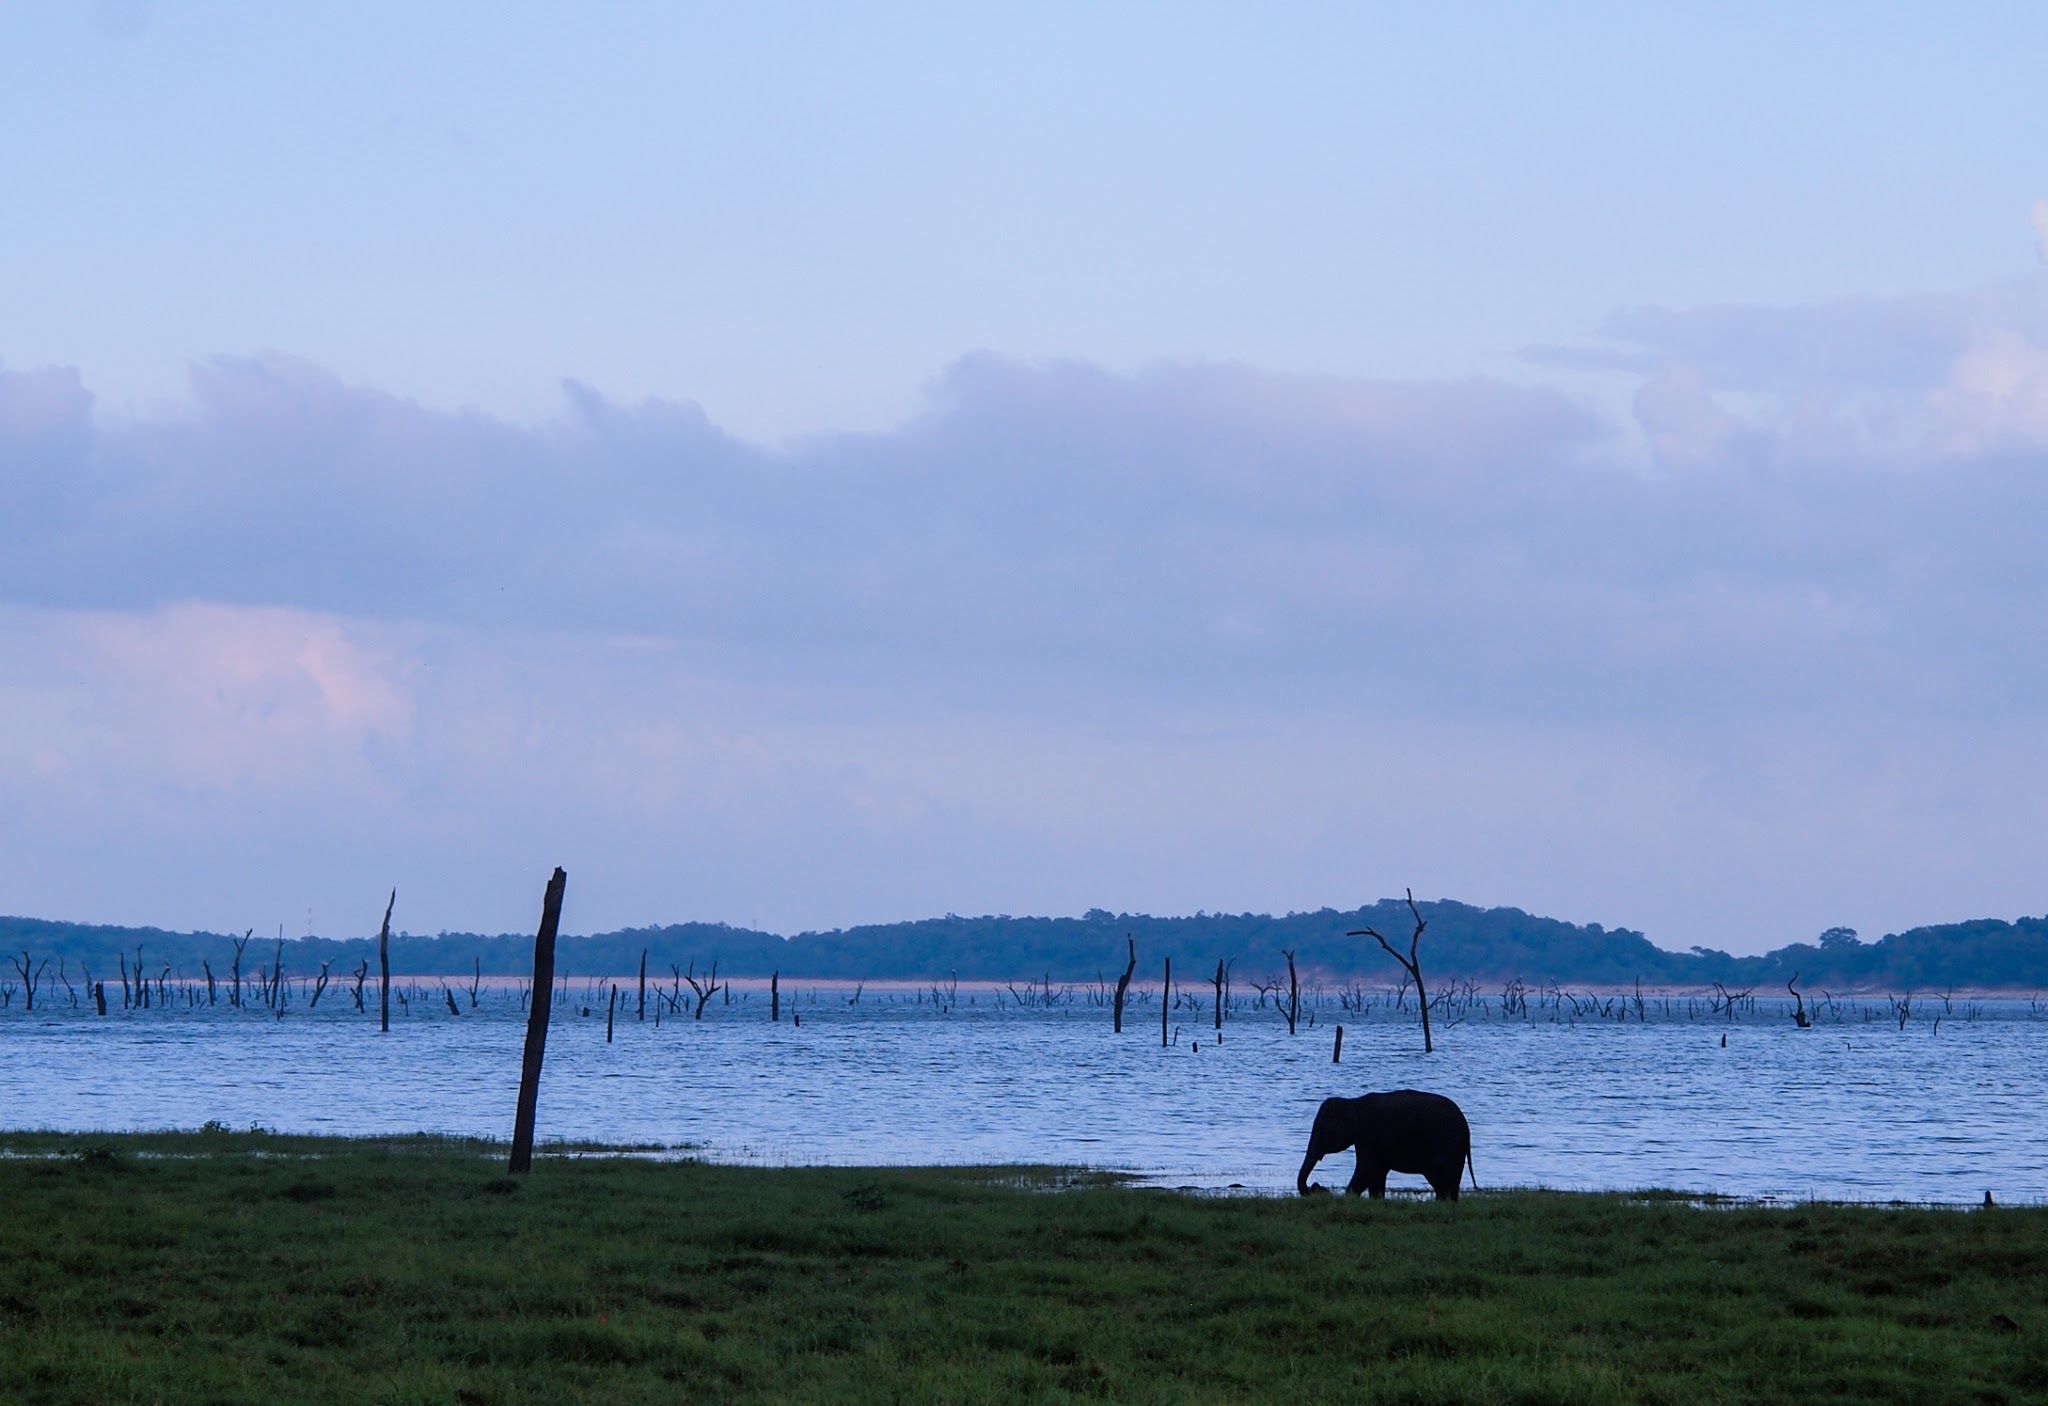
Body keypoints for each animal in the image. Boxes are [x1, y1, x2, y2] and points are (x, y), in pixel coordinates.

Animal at [1294, 1088, 1474, 1195]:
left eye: (1320, 1131)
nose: (1315, 1186)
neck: (1353, 1102)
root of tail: (1466, 1127)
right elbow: (1376, 1176)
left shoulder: (1369, 1136)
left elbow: (1366, 1170)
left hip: (1449, 1146)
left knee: (1443, 1181)